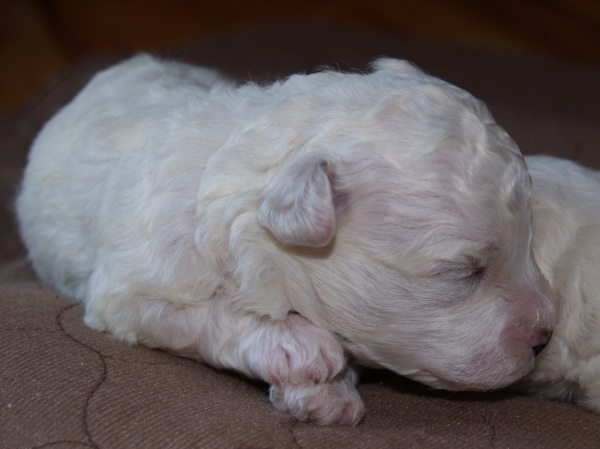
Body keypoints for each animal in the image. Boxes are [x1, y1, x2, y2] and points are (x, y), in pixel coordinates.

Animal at [15, 56, 552, 424]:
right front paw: (301, 351)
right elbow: (199, 315)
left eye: (530, 239)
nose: (544, 338)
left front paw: (325, 392)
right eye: (462, 272)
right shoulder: (129, 289)